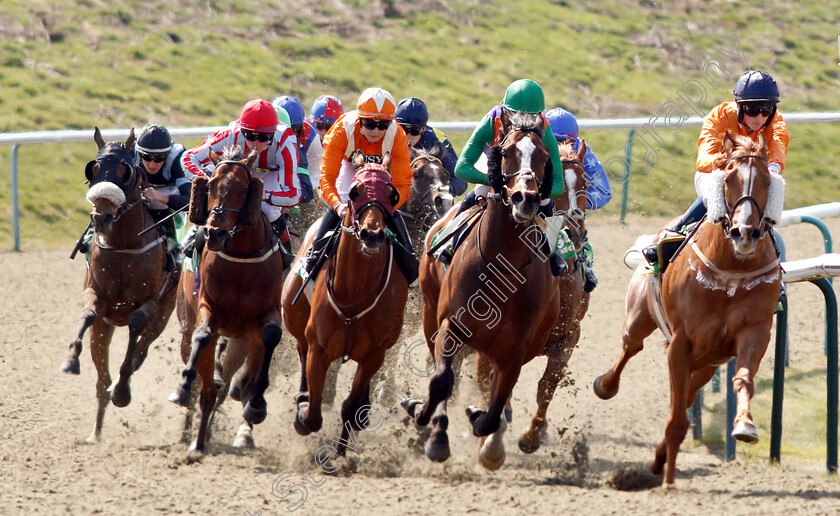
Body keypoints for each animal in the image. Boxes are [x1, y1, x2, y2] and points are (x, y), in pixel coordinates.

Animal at [60, 127, 177, 442]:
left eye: (125, 171)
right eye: (94, 168)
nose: (101, 217)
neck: (125, 247)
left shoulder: (151, 303)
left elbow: (136, 327)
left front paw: (123, 391)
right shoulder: (98, 299)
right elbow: (87, 314)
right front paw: (70, 359)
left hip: (165, 313)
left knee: (141, 350)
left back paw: (120, 386)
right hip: (105, 329)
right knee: (102, 380)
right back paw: (96, 431)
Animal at [168, 144, 286, 456]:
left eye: (244, 189)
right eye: (211, 185)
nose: (215, 232)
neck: (240, 259)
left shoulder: (264, 318)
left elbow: (270, 336)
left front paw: (256, 404)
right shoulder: (208, 309)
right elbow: (203, 336)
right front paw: (183, 387)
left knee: (219, 389)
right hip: (186, 318)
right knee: (206, 385)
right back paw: (193, 436)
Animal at [282, 151, 410, 458]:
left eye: (392, 194)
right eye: (354, 191)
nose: (372, 234)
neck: (354, 290)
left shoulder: (375, 353)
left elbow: (350, 408)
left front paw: (339, 456)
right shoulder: (319, 347)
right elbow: (312, 415)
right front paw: (303, 410)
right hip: (295, 318)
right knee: (301, 350)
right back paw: (302, 394)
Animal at [406, 128, 560, 468]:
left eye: (545, 157)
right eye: (506, 152)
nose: (525, 198)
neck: (500, 267)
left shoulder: (516, 348)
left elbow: (496, 403)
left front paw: (479, 422)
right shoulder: (451, 325)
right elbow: (441, 380)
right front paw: (431, 429)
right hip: (429, 312)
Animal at [592, 131, 784, 486]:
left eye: (767, 181)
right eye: (729, 178)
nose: (745, 233)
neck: (730, 271)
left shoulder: (753, 332)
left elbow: (743, 379)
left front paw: (745, 425)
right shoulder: (681, 342)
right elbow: (676, 421)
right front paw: (668, 481)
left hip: (708, 361)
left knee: (688, 393)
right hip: (640, 317)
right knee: (630, 347)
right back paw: (606, 385)